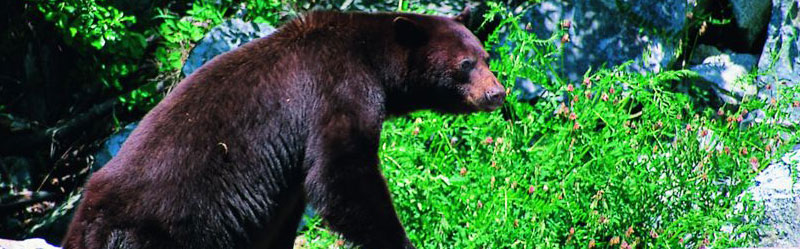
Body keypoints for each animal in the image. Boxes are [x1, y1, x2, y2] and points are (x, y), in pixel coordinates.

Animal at [62, 8, 504, 249]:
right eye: (466, 64)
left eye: (485, 55)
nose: (497, 92)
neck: (372, 58)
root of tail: (88, 220)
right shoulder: (336, 88)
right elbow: (342, 175)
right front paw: (398, 239)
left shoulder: (283, 185)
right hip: (163, 230)